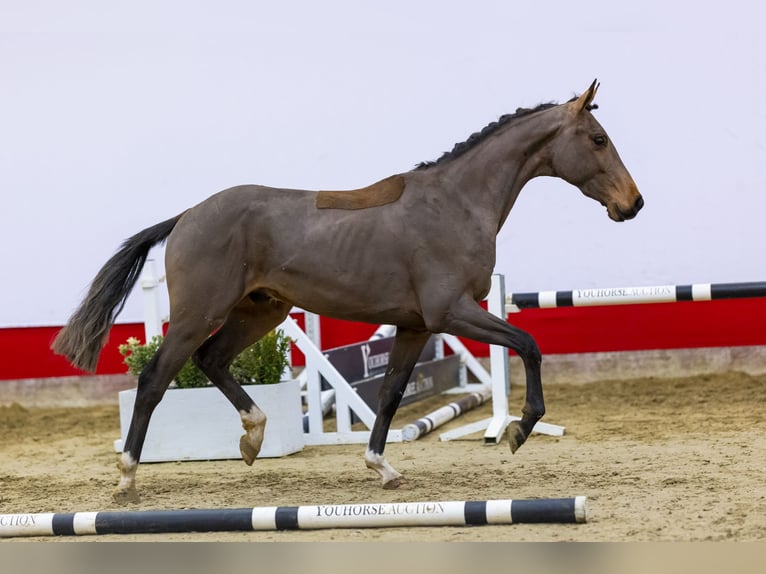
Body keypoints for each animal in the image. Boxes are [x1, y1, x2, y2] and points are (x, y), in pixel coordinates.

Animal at [51, 80, 644, 504]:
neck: (456, 203)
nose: (633, 203)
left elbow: (391, 394)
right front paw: (520, 429)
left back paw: (253, 437)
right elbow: (529, 345)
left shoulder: (415, 326)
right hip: (201, 312)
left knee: (212, 360)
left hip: (261, 312)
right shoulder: (452, 313)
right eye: (598, 139)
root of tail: (187, 215)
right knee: (155, 379)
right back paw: (128, 479)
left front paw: (383, 468)